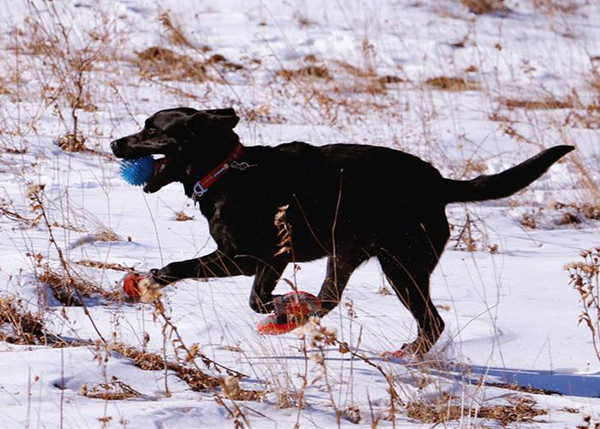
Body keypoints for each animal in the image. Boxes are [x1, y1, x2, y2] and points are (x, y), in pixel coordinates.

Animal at [110, 108, 576, 354]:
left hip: (402, 265)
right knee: (331, 299)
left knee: (432, 321)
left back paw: (409, 355)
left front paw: (150, 281)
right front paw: (288, 308)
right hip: (348, 253)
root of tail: (439, 183)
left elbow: (191, 271)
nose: (115, 143)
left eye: (151, 129)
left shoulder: (248, 257)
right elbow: (255, 297)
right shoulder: (266, 260)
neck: (227, 169)